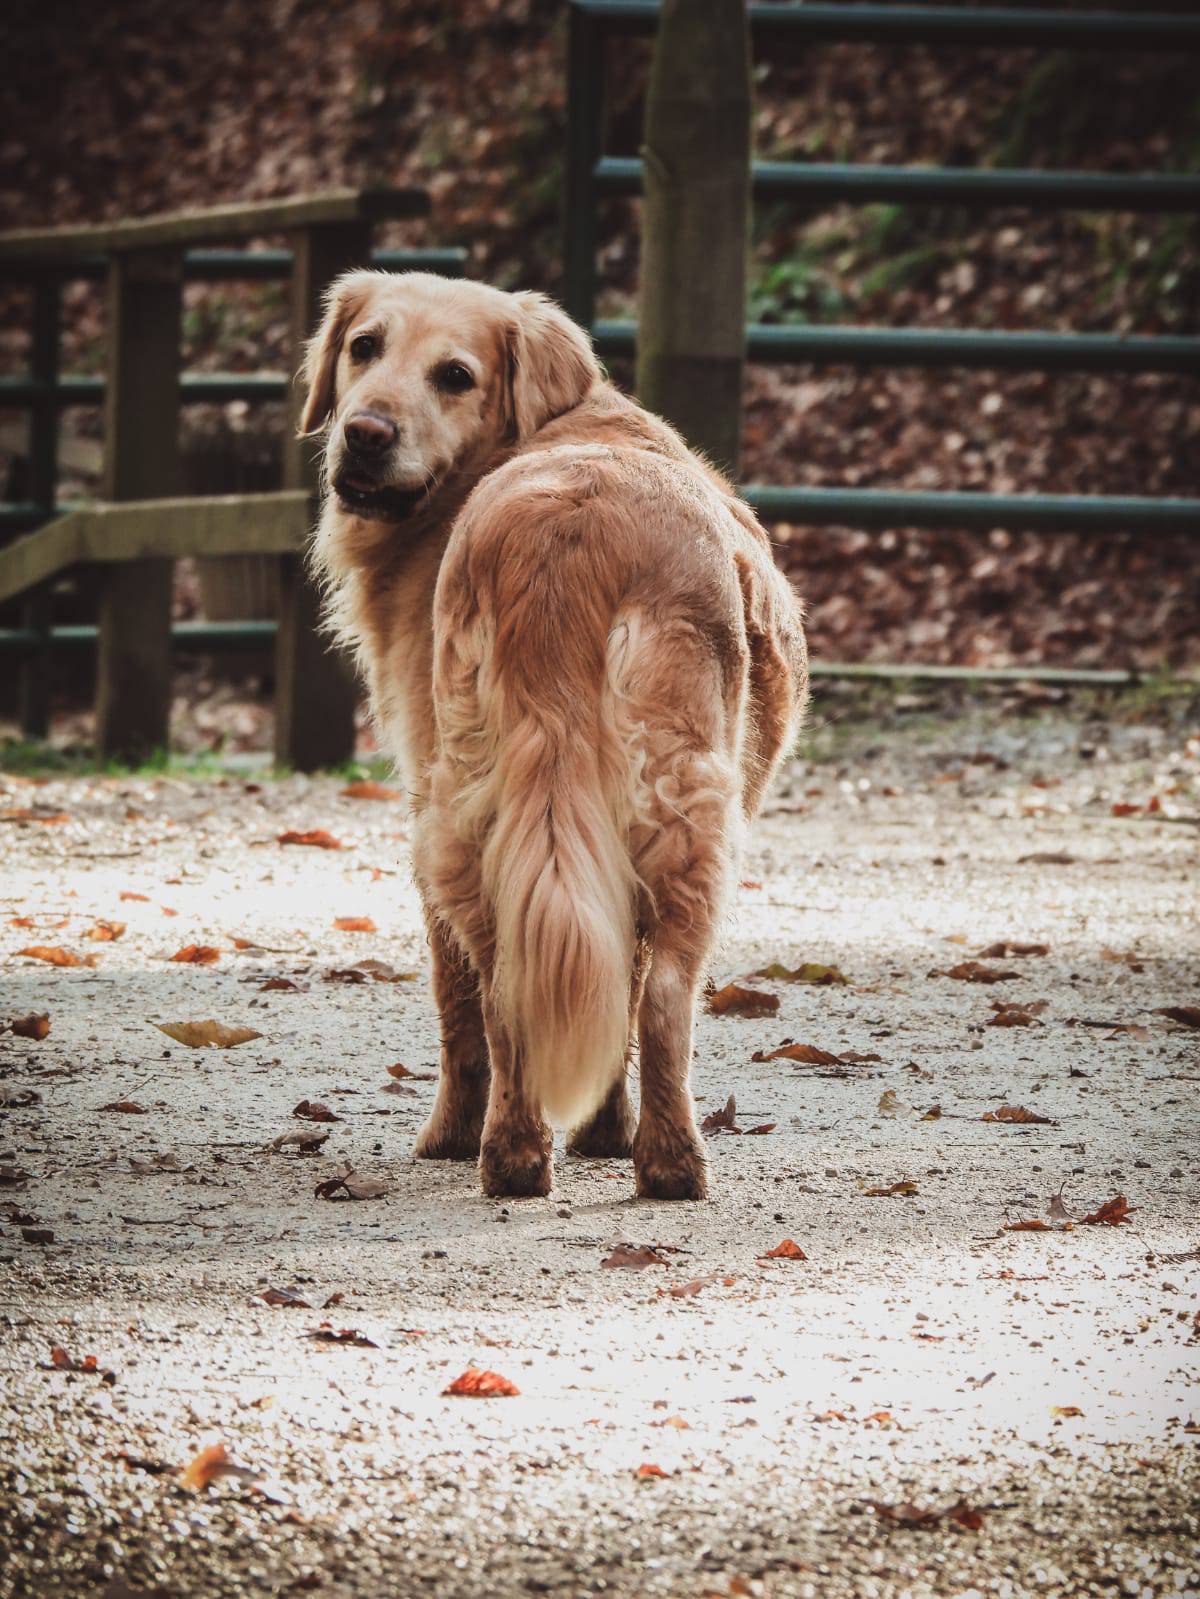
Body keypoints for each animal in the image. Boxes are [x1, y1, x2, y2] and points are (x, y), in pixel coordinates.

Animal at [300, 275, 809, 1202]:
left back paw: (518, 1154)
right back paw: (661, 1163)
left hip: (464, 815)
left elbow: (459, 1002)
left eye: (455, 375)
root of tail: (569, 529)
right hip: (677, 813)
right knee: (659, 993)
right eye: (363, 347)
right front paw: (599, 1132)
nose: (366, 432)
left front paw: (453, 1135)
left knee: (517, 989)